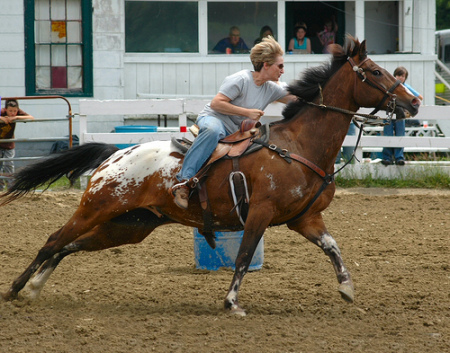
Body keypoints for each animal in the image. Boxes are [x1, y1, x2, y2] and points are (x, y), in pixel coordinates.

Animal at [0, 37, 422, 314]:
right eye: (374, 71)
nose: (414, 102)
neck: (299, 145)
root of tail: (116, 153)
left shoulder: (305, 218)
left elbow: (332, 247)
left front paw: (347, 289)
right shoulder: (260, 213)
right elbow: (244, 255)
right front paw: (231, 302)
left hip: (130, 225)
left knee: (69, 246)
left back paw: (34, 289)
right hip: (96, 207)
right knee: (54, 240)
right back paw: (16, 290)